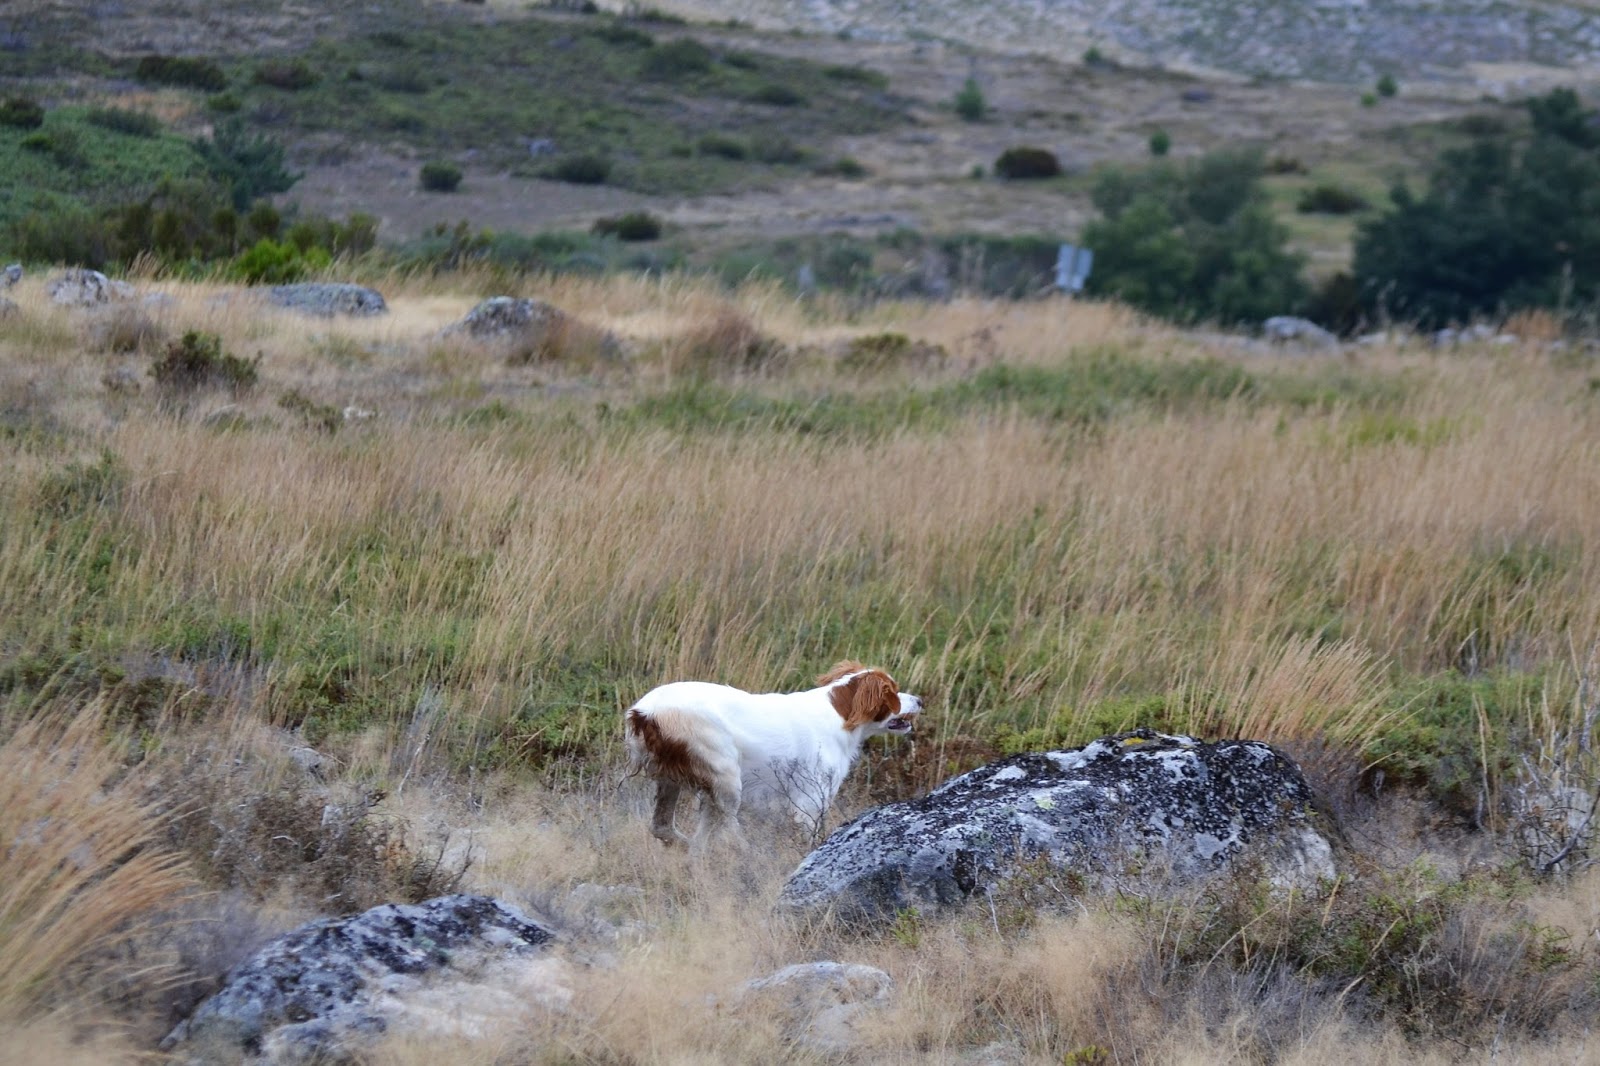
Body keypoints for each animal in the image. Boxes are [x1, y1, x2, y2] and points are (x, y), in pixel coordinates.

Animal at [623, 661, 922, 846]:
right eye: (893, 692)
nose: (920, 700)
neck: (840, 715)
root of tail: (645, 713)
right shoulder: (809, 803)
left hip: (675, 782)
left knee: (666, 828)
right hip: (726, 779)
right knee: (727, 830)